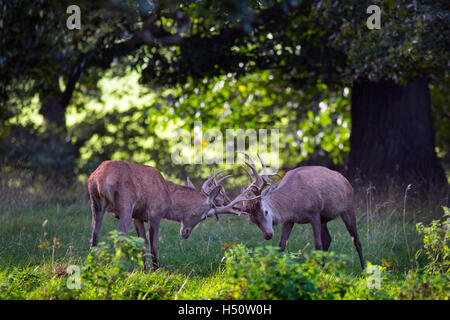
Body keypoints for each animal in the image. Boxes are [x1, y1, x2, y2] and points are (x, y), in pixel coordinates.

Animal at [86, 159, 251, 268]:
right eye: (204, 217)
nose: (185, 233)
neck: (169, 198)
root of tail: (100, 179)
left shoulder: (137, 216)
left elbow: (142, 243)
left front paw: (143, 270)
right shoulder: (155, 214)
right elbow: (153, 245)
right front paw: (156, 270)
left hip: (95, 204)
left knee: (94, 236)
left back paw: (93, 266)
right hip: (125, 204)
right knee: (119, 237)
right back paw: (119, 268)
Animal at [234, 152, 364, 270]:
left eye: (265, 211)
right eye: (252, 220)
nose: (268, 235)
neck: (295, 205)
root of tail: (346, 181)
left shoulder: (314, 213)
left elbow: (317, 245)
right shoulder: (289, 219)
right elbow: (281, 245)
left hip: (348, 207)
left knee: (356, 240)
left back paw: (362, 268)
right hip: (324, 219)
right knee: (328, 239)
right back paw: (323, 266)